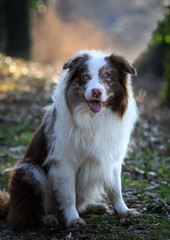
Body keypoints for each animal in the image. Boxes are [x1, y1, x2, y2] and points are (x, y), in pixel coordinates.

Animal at [0, 49, 139, 228]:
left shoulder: (111, 158)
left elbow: (116, 189)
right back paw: (48, 218)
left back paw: (95, 206)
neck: (94, 119)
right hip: (30, 171)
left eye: (108, 78)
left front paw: (123, 211)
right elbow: (68, 194)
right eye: (85, 77)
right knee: (34, 209)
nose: (96, 92)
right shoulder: (64, 162)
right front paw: (73, 219)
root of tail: (9, 205)